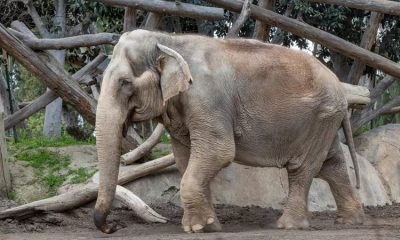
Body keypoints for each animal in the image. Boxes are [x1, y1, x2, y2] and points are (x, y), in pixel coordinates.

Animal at [94, 29, 366, 233]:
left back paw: (288, 226)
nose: (112, 227)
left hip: (320, 118)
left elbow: (219, 152)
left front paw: (197, 228)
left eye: (125, 83)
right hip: (325, 121)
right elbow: (185, 158)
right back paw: (349, 221)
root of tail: (342, 89)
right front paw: (209, 226)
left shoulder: (207, 99)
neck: (168, 40)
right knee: (332, 165)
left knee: (303, 168)